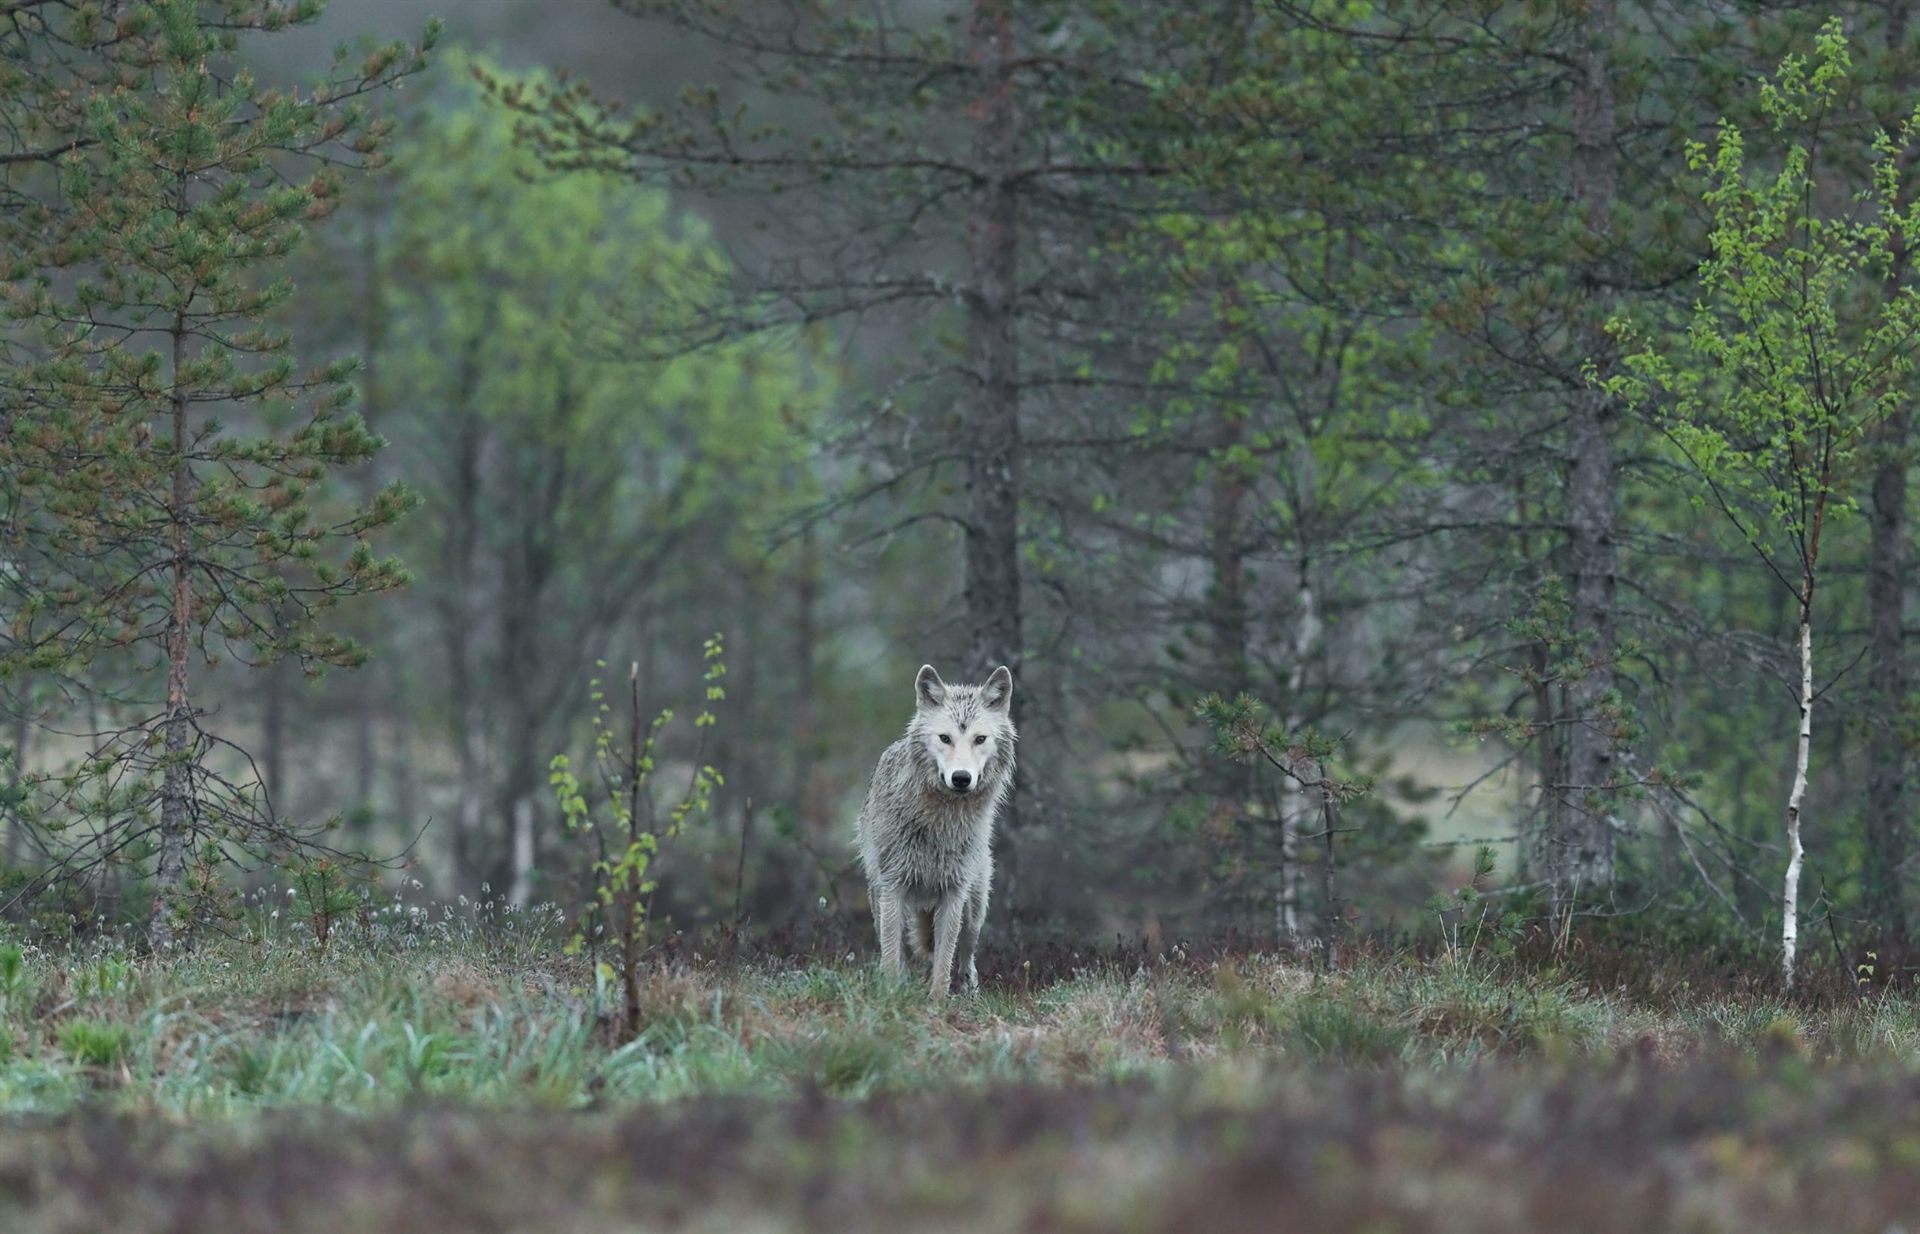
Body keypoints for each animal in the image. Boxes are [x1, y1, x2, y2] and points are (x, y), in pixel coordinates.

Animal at [856, 663, 1015, 998]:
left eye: (980, 739)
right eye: (945, 738)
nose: (961, 778)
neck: (941, 822)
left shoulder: (954, 893)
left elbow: (944, 960)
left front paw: (937, 1002)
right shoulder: (893, 887)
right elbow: (892, 957)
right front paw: (891, 997)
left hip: (974, 909)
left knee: (966, 956)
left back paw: (969, 993)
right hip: (880, 899)